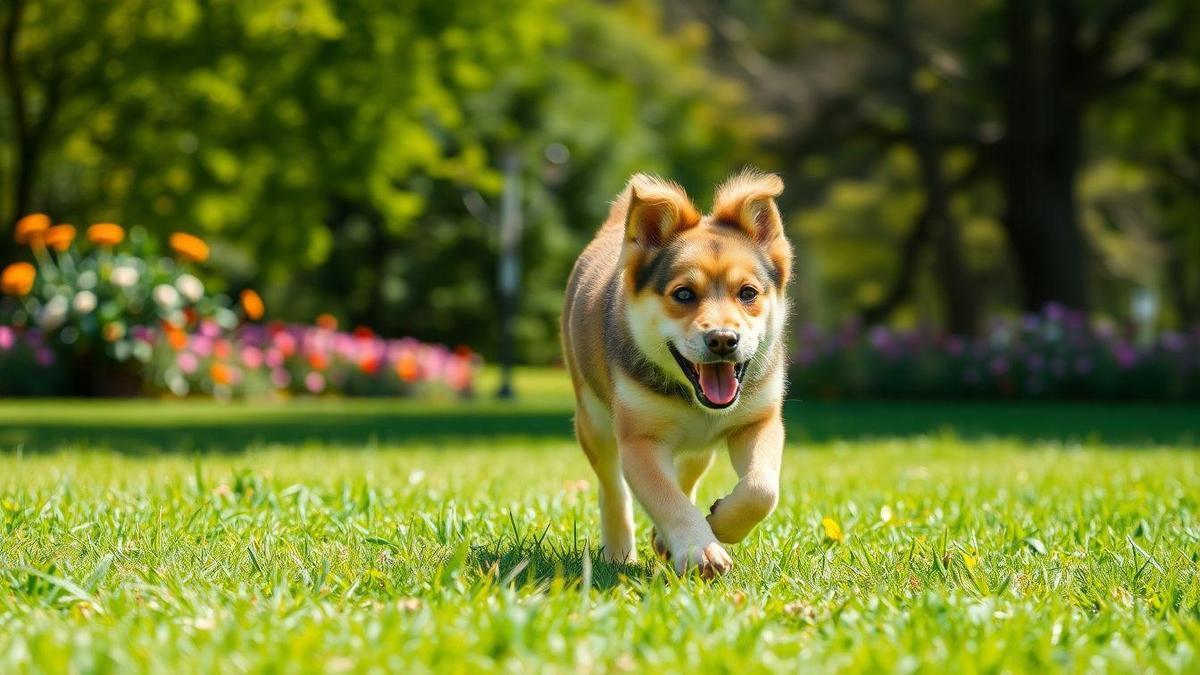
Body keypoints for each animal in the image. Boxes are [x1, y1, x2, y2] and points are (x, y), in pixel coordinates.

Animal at [559, 166, 792, 571]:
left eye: (748, 293)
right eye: (683, 294)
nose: (723, 339)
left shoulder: (758, 420)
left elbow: (762, 489)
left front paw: (721, 523)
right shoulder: (640, 439)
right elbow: (665, 497)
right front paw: (700, 548)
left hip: (700, 444)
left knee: (692, 467)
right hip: (592, 420)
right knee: (612, 487)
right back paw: (620, 550)